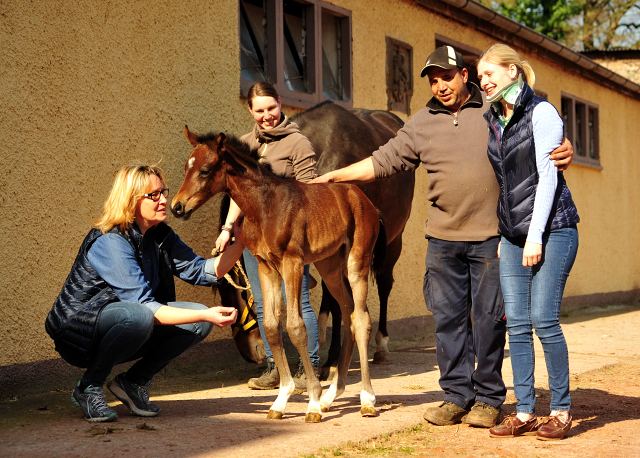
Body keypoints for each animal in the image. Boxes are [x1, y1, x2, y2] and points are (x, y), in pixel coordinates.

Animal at [171, 127, 384, 424]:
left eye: (204, 170)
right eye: (186, 168)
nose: (177, 207)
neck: (266, 206)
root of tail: (363, 198)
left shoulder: (292, 263)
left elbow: (296, 327)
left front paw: (312, 402)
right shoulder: (266, 267)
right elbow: (271, 326)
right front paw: (281, 400)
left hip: (356, 262)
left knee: (362, 319)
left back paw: (366, 399)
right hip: (330, 267)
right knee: (349, 314)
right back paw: (333, 394)